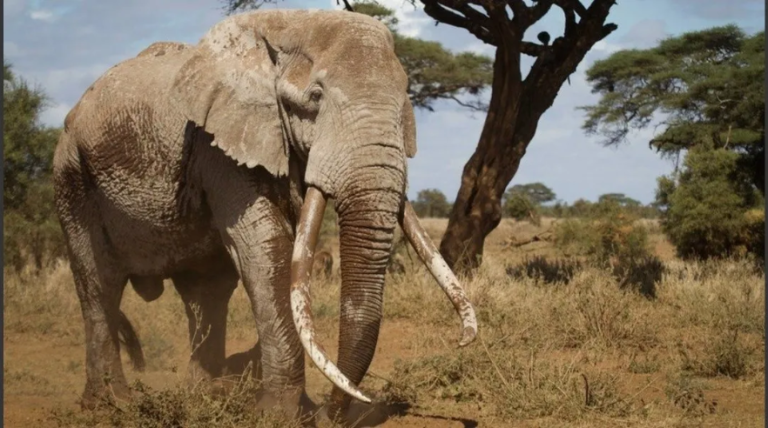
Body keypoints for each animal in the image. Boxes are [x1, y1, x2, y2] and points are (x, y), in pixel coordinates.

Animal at [53, 9, 477, 424]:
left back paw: (205, 395)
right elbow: (265, 247)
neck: (291, 22)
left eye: (404, 102)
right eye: (315, 97)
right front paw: (282, 416)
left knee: (205, 291)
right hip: (72, 177)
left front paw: (293, 411)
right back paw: (110, 405)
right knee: (99, 284)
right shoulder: (217, 145)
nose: (332, 414)